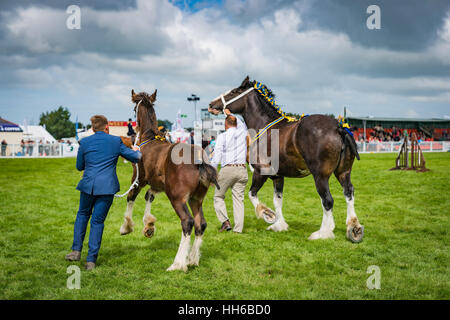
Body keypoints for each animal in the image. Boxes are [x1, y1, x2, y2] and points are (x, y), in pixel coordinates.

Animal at [118, 89, 219, 272]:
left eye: (133, 108)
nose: (132, 131)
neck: (149, 138)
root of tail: (198, 160)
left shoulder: (138, 180)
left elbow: (131, 197)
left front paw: (126, 227)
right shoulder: (157, 185)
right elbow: (149, 196)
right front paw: (149, 226)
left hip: (177, 199)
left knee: (187, 222)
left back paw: (178, 263)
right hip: (196, 199)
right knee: (200, 224)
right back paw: (192, 259)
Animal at [209, 77, 364, 242]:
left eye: (234, 91)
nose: (211, 104)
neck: (265, 127)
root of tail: (339, 127)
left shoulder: (260, 172)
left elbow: (252, 194)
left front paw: (268, 215)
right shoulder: (278, 176)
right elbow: (278, 200)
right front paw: (279, 225)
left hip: (320, 176)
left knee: (327, 200)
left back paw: (323, 233)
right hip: (343, 172)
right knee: (348, 193)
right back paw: (354, 228)